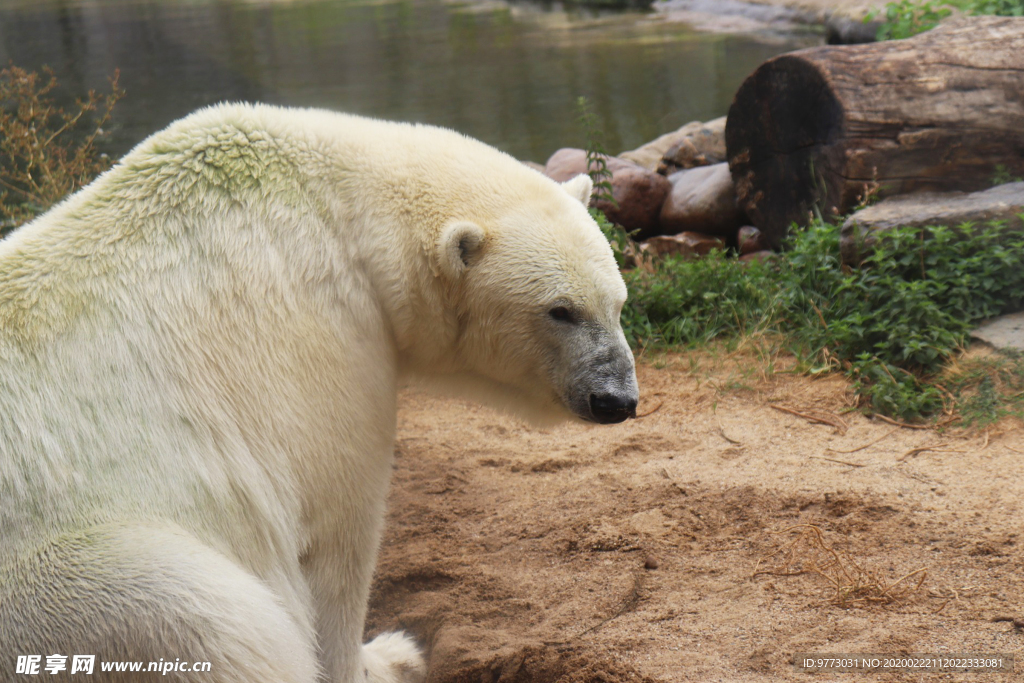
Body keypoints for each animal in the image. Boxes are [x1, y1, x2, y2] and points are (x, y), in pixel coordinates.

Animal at [0, 102, 634, 683]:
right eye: (560, 311)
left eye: (617, 302)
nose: (617, 399)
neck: (336, 208)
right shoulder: (323, 347)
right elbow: (336, 542)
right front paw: (389, 656)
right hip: (83, 585)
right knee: (214, 623)